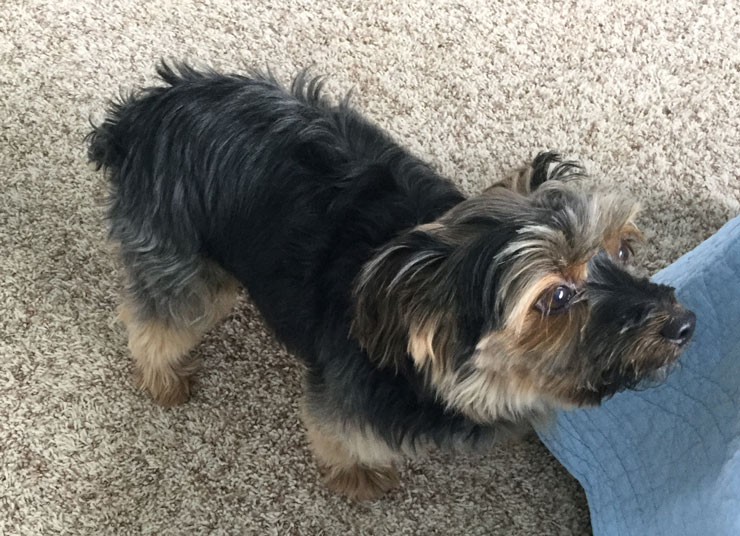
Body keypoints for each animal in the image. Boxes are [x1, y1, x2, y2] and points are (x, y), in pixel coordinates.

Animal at [88, 63, 696, 500]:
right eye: (558, 296)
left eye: (622, 248)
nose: (684, 324)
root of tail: (143, 115)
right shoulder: (346, 402)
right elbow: (338, 438)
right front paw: (357, 478)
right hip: (185, 267)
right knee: (156, 320)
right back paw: (163, 377)